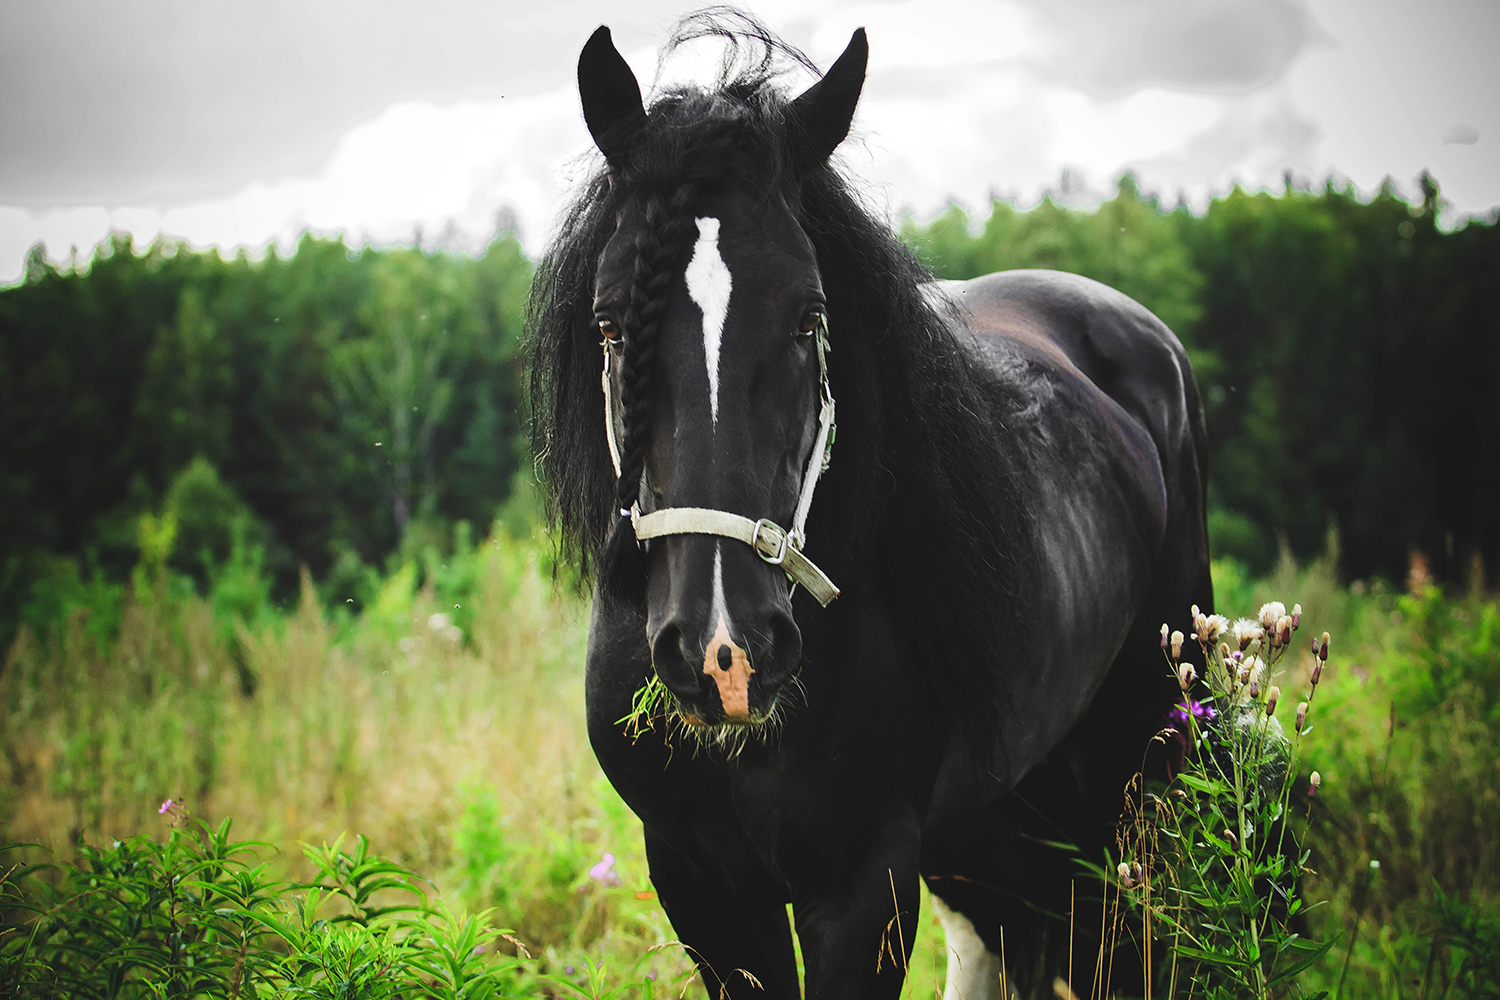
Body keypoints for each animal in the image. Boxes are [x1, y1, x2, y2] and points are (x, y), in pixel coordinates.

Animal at [522, 11, 1212, 995]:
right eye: (611, 324)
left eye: (811, 317)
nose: (725, 654)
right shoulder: (699, 884)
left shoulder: (864, 883)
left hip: (1145, 753)